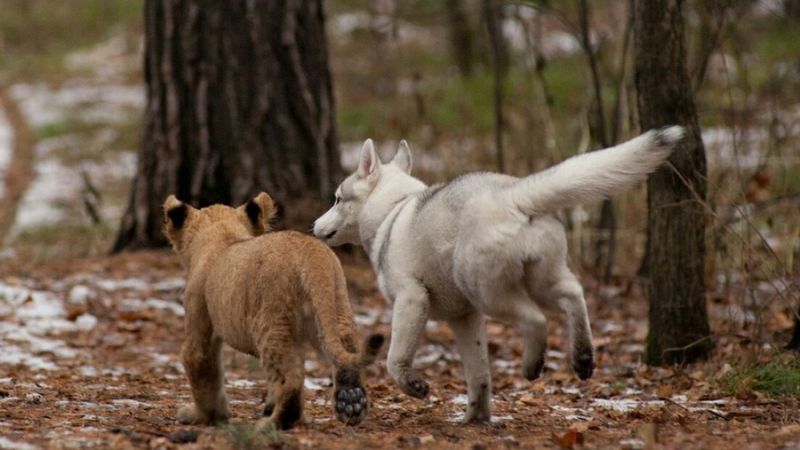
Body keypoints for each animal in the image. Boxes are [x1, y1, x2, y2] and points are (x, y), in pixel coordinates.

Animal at [312, 125, 680, 422]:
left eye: (337, 198)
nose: (313, 226)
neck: (392, 209)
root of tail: (515, 194)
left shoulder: (411, 300)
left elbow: (394, 360)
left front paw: (415, 386)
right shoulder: (465, 318)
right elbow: (479, 375)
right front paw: (476, 419)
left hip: (485, 291)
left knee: (536, 320)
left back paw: (532, 364)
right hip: (541, 279)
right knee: (573, 295)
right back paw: (583, 357)